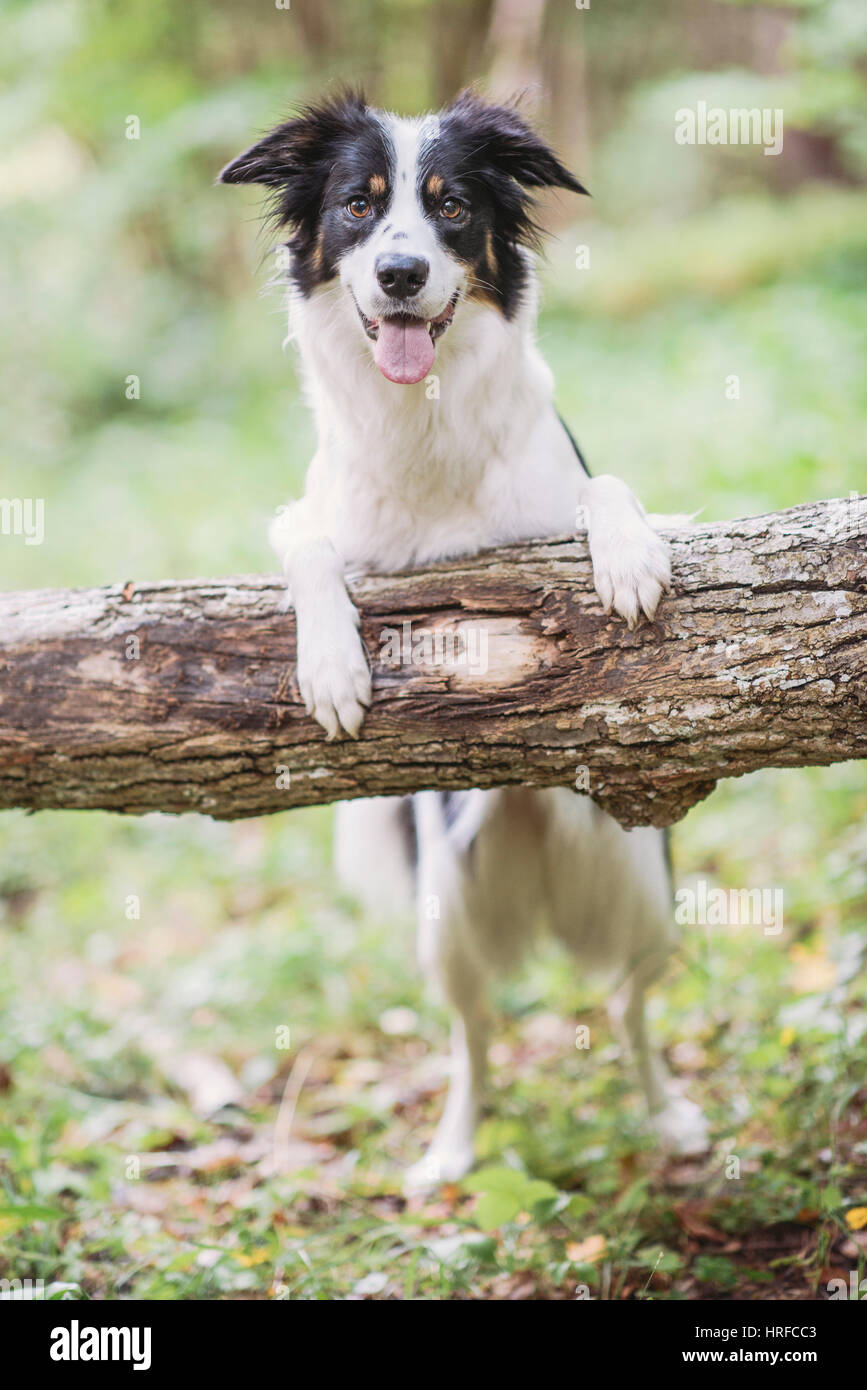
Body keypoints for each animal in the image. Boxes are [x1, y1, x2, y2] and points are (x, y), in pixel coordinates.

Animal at [219, 92, 708, 1189]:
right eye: (359, 206)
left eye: (448, 208)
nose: (401, 273)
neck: (422, 416)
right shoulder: (309, 515)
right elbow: (304, 545)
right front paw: (331, 669)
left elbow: (610, 489)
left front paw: (627, 560)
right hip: (444, 929)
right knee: (475, 1037)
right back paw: (451, 1148)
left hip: (646, 902)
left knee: (629, 1007)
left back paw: (668, 1116)